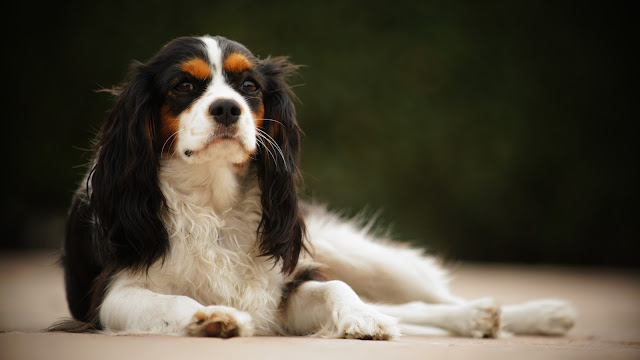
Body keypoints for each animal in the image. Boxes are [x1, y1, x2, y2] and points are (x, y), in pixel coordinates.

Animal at [52, 35, 576, 338]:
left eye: (249, 87)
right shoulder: (109, 297)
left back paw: (526, 314)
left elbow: (335, 288)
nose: (227, 108)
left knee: (414, 299)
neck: (214, 201)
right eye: (183, 86)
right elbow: (170, 300)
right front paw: (214, 318)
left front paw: (360, 319)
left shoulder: (283, 289)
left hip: (358, 254)